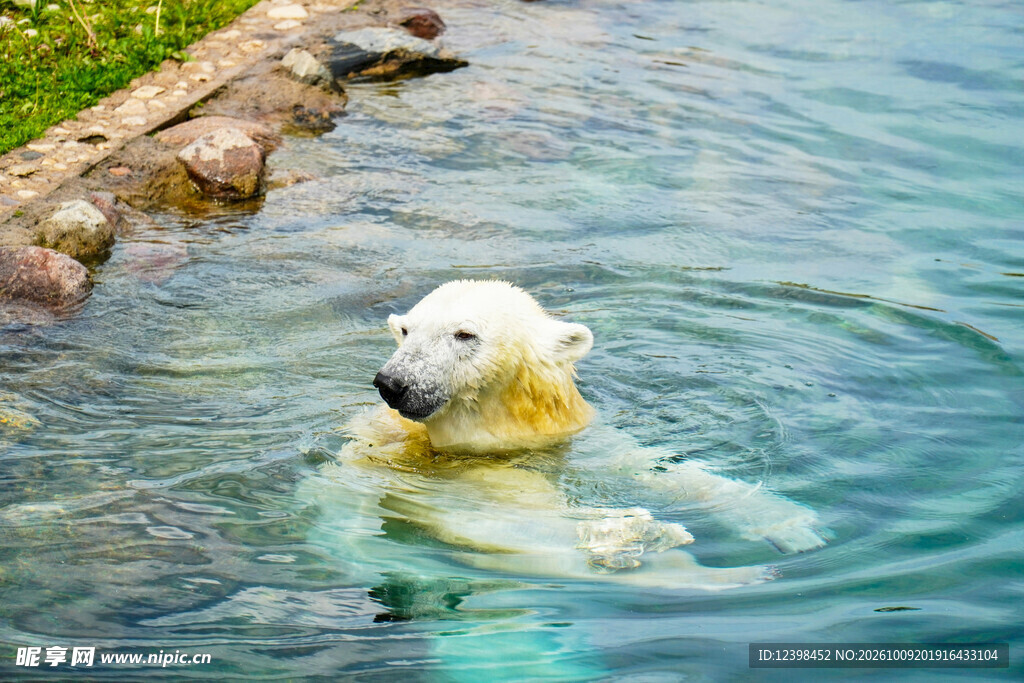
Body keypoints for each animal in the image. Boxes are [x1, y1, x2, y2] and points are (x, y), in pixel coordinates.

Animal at [316, 280, 825, 591]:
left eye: (464, 334)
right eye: (406, 330)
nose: (393, 382)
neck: (504, 430)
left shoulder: (572, 432)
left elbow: (654, 464)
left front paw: (795, 526)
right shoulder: (433, 465)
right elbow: (501, 504)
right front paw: (625, 534)